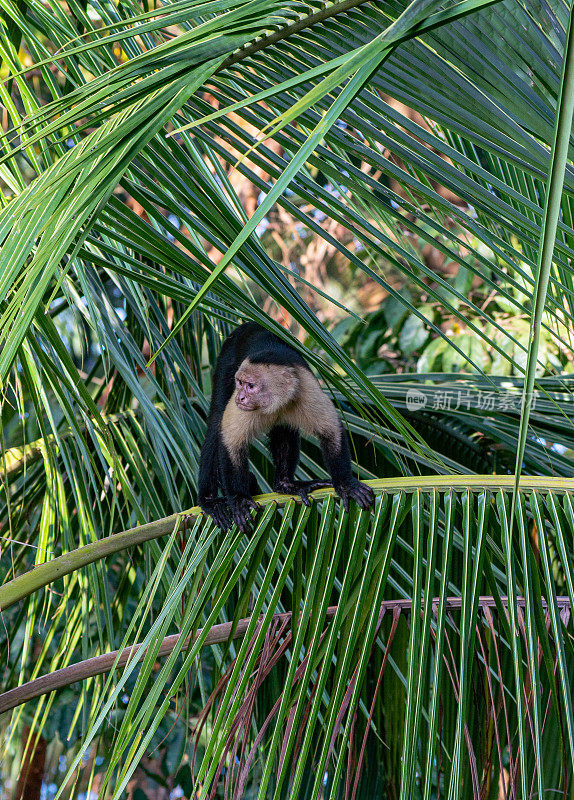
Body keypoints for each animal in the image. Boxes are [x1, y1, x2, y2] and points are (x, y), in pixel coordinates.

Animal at [200, 318, 376, 532]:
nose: (240, 397)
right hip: (228, 355)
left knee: (285, 430)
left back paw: (285, 485)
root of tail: (250, 324)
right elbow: (231, 440)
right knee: (216, 421)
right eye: (240, 383)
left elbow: (331, 430)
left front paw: (345, 485)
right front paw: (240, 500)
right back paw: (210, 502)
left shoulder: (305, 389)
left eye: (251, 386)